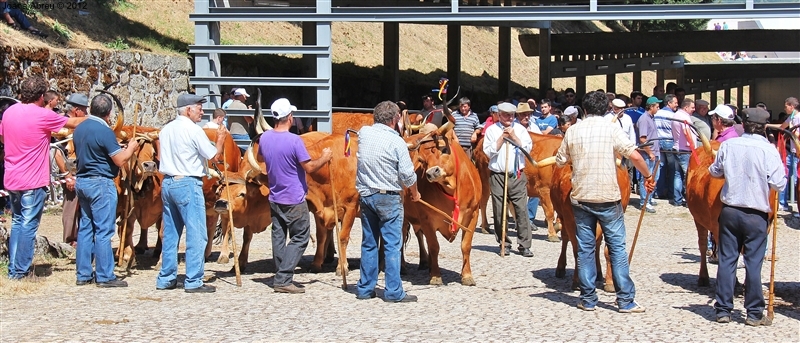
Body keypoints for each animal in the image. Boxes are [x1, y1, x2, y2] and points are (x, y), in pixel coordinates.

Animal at [404, 125, 478, 286]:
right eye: (421, 160)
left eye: (443, 149)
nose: (432, 172)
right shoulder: (426, 218)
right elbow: (434, 246)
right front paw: (436, 276)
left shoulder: (473, 214)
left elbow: (466, 245)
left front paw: (467, 275)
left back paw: (426, 263)